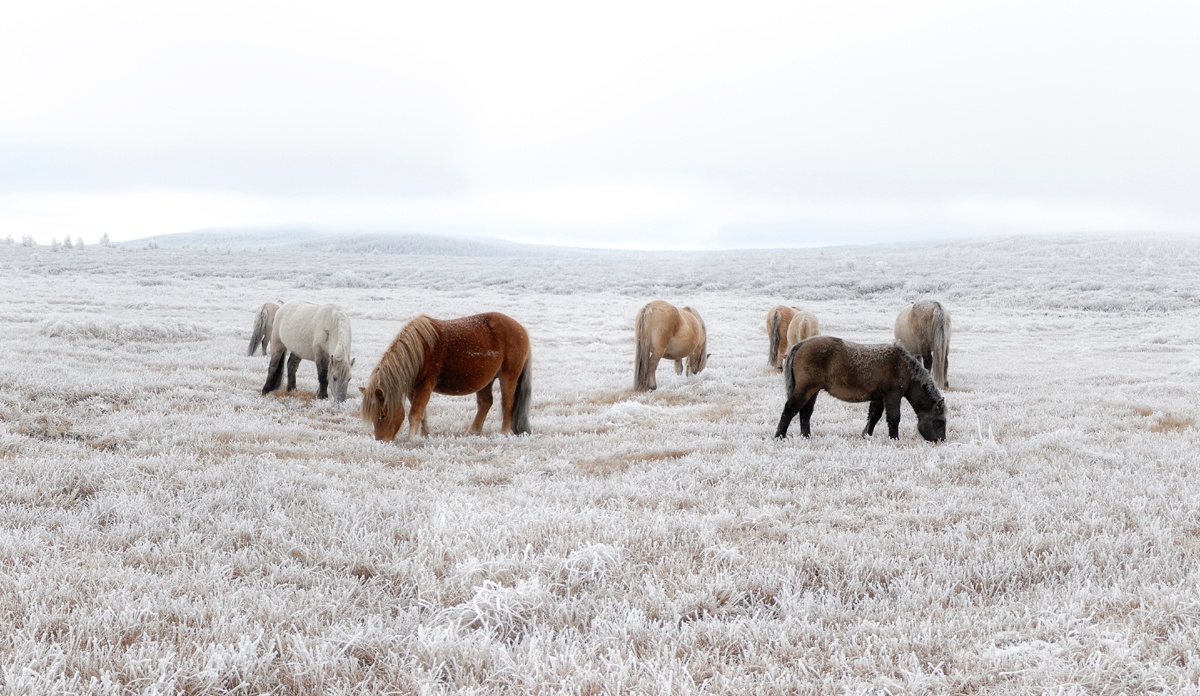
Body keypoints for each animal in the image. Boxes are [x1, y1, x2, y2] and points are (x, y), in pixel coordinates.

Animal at [357, 312, 532, 441]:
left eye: (383, 414)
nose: (381, 441)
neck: (420, 350)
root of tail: (521, 329)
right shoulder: (412, 388)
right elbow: (422, 413)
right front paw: (425, 435)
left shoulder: (425, 386)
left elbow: (415, 414)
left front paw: (410, 440)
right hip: (485, 380)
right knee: (485, 403)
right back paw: (472, 432)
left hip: (508, 377)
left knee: (507, 405)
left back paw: (503, 434)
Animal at [777, 336, 945, 444]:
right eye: (939, 422)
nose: (941, 440)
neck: (903, 367)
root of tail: (801, 345)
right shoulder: (893, 395)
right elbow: (894, 417)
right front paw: (894, 439)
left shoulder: (879, 397)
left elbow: (874, 416)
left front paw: (866, 436)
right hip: (805, 389)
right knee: (790, 409)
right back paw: (779, 437)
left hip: (813, 391)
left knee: (805, 413)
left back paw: (806, 437)